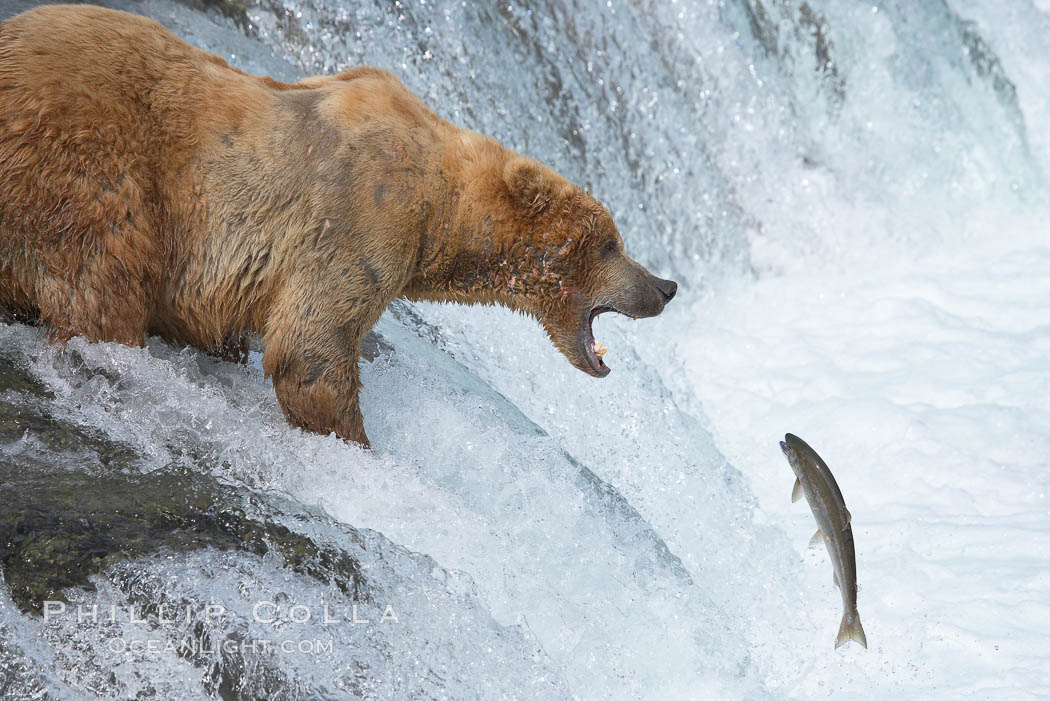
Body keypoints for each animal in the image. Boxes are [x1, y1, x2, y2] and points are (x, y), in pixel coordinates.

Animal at [0, 4, 672, 442]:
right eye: (610, 243)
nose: (664, 287)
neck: (442, 213)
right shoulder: (361, 216)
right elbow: (313, 348)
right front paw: (356, 442)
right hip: (88, 161)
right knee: (106, 277)